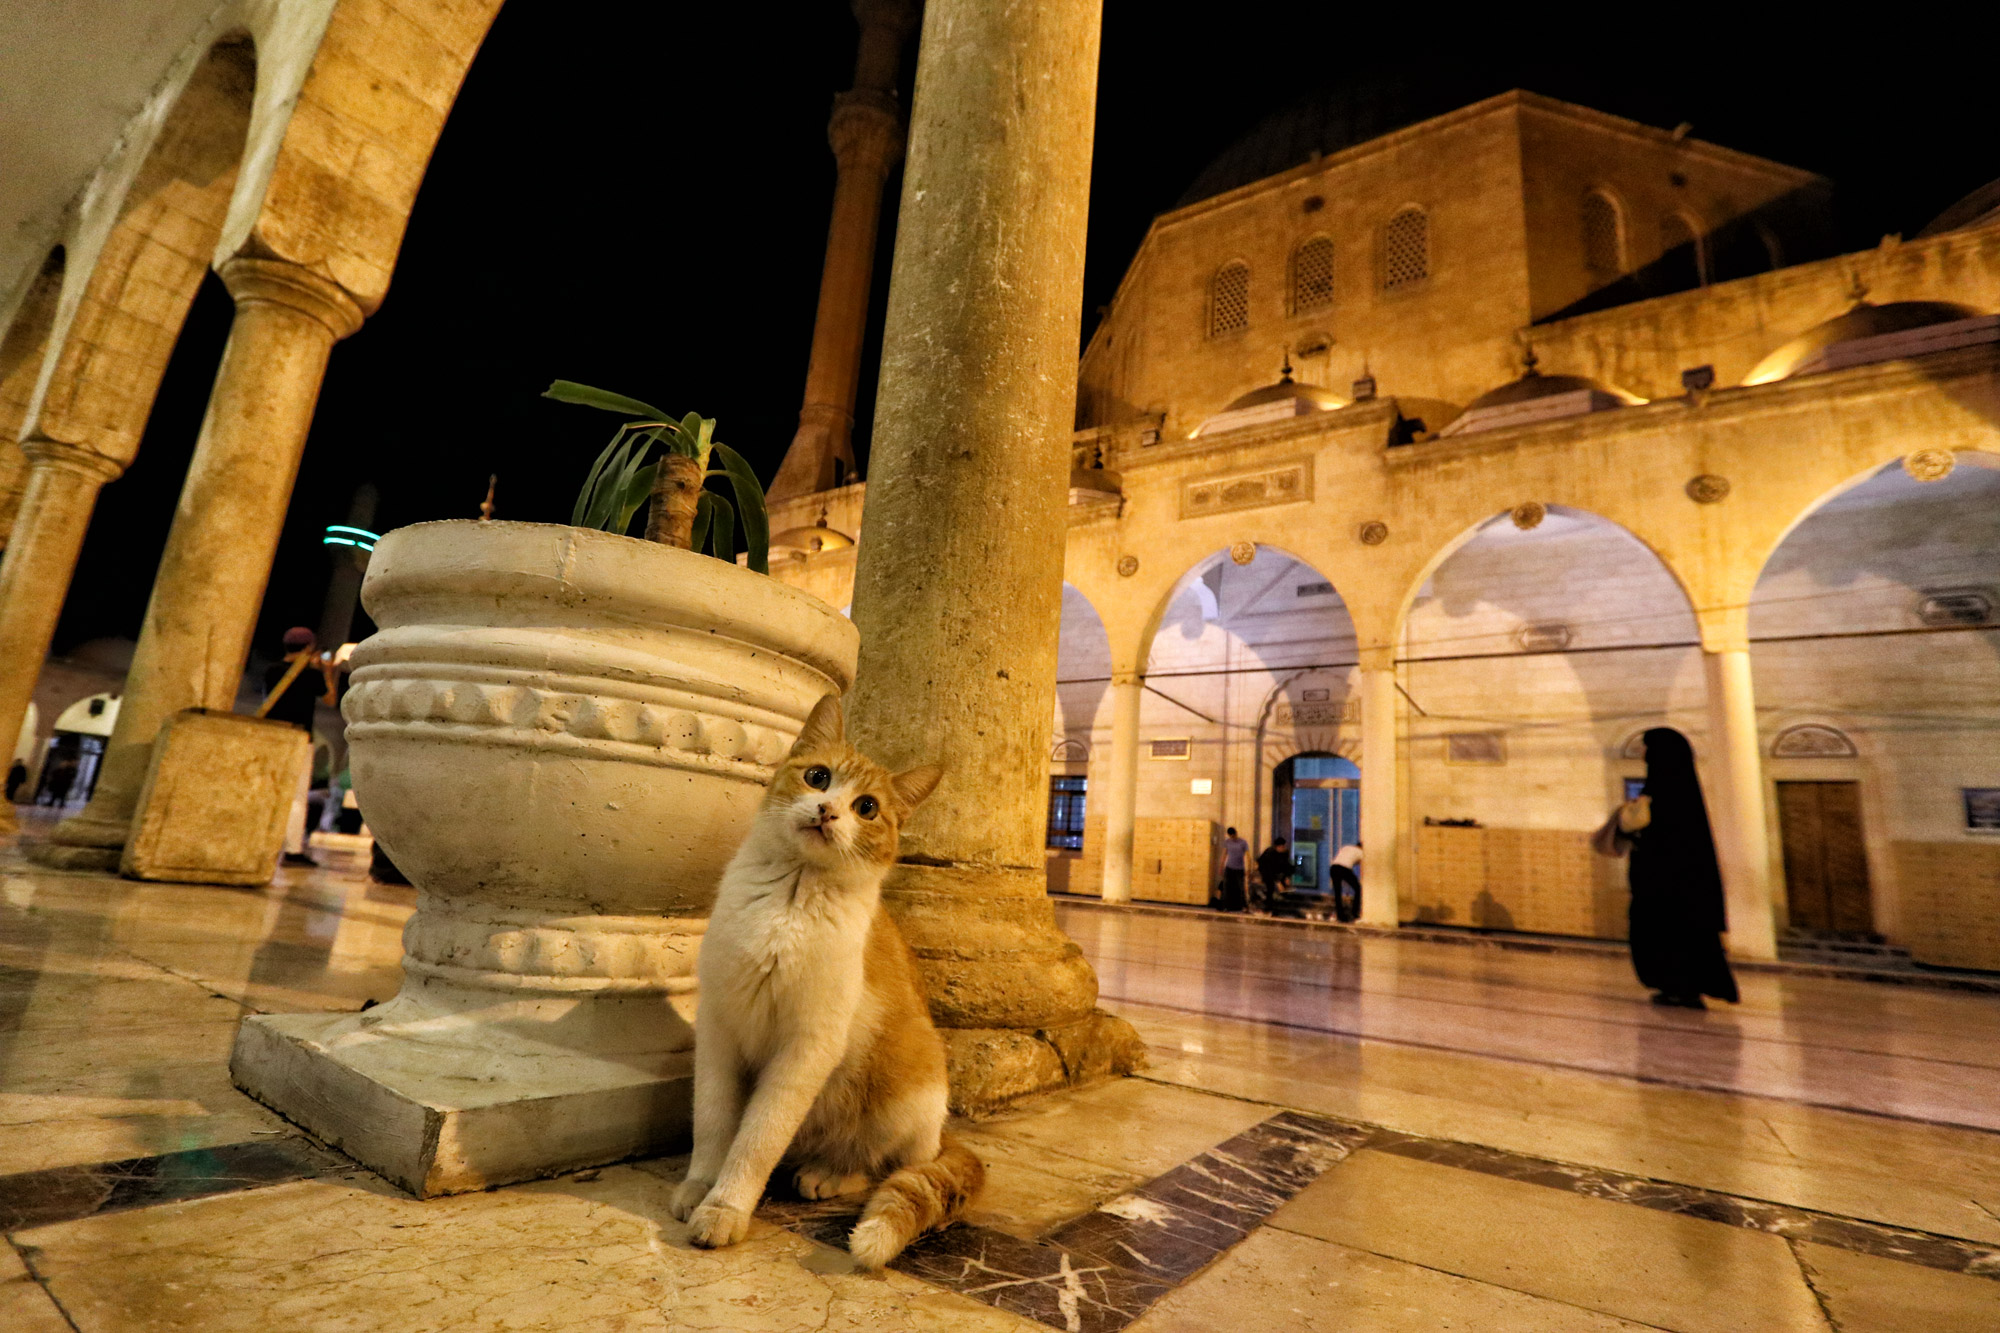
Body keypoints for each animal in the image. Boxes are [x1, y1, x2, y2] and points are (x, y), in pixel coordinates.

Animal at [672, 688, 984, 1264]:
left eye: (868, 808)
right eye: (818, 777)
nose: (828, 810)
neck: (789, 900)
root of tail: (943, 1135)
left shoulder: (805, 1049)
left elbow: (756, 1141)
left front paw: (724, 1208)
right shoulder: (719, 1028)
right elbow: (714, 1122)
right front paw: (700, 1186)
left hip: (906, 1085)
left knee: (884, 1164)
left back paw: (826, 1176)